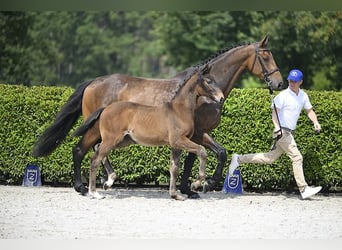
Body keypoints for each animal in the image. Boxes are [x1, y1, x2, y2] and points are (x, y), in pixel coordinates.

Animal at [73, 67, 226, 200]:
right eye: (208, 81)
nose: (221, 98)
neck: (179, 110)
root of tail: (105, 108)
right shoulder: (179, 140)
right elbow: (202, 151)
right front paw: (196, 184)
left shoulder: (176, 145)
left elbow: (174, 168)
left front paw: (175, 195)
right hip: (111, 140)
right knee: (95, 159)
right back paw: (94, 192)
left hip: (121, 141)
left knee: (96, 152)